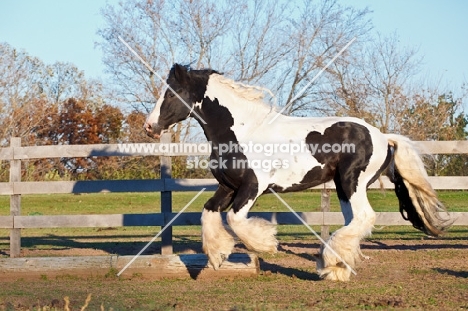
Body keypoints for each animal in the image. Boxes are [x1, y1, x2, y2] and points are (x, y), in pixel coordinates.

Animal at [144, 64, 450, 282]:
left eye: (170, 94)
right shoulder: (228, 186)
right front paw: (218, 256)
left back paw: (331, 264)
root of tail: (383, 136)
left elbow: (235, 219)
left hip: (353, 181)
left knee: (364, 217)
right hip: (342, 187)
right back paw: (336, 268)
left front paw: (267, 244)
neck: (240, 130)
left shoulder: (253, 187)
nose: (149, 127)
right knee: (353, 220)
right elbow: (208, 212)